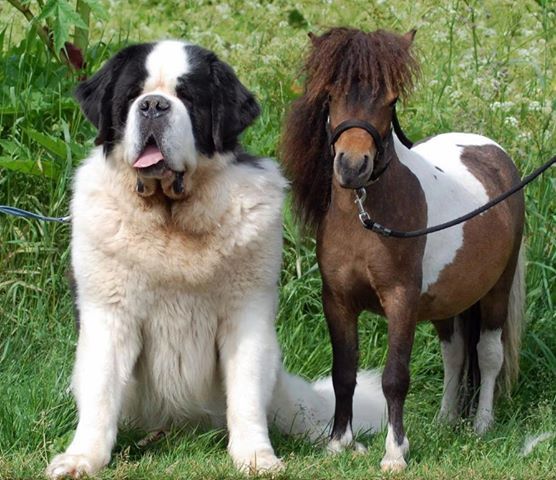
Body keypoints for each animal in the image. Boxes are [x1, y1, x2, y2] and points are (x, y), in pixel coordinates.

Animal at [45, 39, 386, 478]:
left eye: (188, 97)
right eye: (132, 95)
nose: (153, 106)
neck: (172, 219)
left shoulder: (246, 316)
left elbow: (245, 394)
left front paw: (256, 456)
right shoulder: (110, 315)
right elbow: (102, 392)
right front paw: (82, 458)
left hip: (287, 397)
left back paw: (339, 444)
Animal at [282, 28, 524, 470]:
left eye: (391, 100)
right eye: (330, 94)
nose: (353, 166)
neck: (367, 215)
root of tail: (491, 151)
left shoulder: (401, 300)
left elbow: (395, 377)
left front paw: (395, 452)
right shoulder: (337, 301)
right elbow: (344, 372)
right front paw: (339, 443)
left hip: (497, 289)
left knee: (488, 353)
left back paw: (481, 425)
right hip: (447, 300)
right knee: (455, 355)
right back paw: (446, 422)